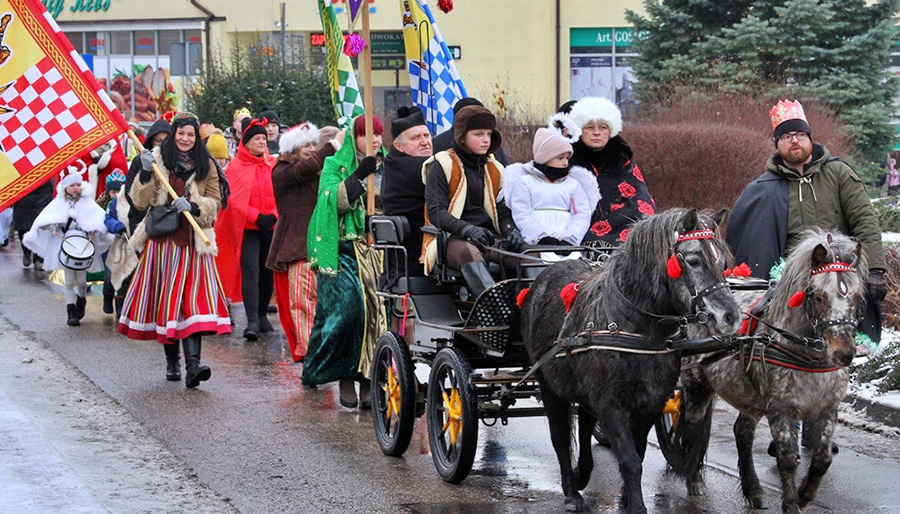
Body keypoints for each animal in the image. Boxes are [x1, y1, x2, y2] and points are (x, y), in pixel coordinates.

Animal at [668, 229, 864, 512]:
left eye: (857, 297)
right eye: (819, 297)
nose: (844, 353)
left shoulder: (827, 408)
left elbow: (822, 459)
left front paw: (805, 494)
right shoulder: (780, 409)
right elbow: (787, 458)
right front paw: (792, 502)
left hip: (747, 394)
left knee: (742, 433)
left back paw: (754, 490)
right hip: (697, 384)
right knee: (694, 428)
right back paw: (694, 479)